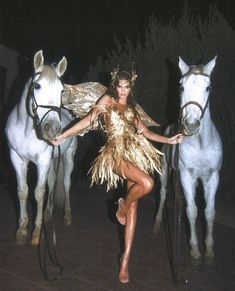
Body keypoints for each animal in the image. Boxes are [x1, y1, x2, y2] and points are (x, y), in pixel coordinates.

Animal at [5, 50, 77, 246]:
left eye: (61, 90)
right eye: (37, 85)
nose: (52, 128)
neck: (27, 131)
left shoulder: (42, 161)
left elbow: (38, 193)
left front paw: (37, 232)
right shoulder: (17, 159)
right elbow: (23, 191)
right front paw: (21, 230)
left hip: (68, 156)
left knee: (65, 183)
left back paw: (67, 215)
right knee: (52, 183)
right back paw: (48, 214)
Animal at [153, 56, 223, 264]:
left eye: (208, 87)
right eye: (181, 86)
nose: (191, 125)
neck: (200, 143)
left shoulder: (212, 178)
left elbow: (209, 212)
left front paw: (209, 250)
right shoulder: (186, 177)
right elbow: (192, 211)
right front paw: (194, 249)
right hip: (166, 172)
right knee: (163, 194)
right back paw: (157, 223)